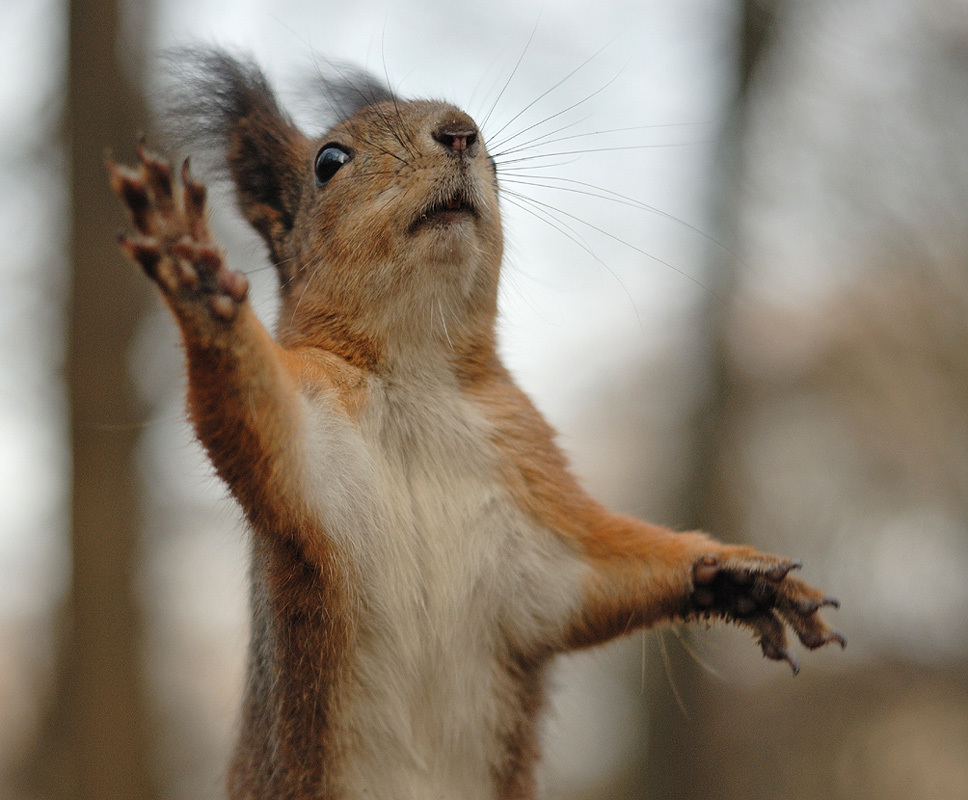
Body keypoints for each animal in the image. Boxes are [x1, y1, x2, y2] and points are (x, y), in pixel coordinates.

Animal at [109, 48, 844, 800]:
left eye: (486, 152)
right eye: (329, 160)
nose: (461, 132)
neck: (419, 375)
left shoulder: (534, 501)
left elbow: (605, 564)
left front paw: (736, 575)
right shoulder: (307, 448)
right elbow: (252, 421)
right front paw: (193, 268)